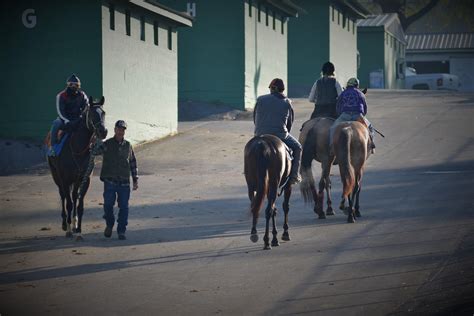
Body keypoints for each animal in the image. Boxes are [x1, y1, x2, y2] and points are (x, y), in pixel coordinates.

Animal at [46, 96, 107, 239]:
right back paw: (65, 224)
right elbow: (68, 203)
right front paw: (68, 229)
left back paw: (74, 223)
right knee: (63, 196)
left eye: (104, 113)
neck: (77, 148)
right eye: (92, 114)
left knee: (74, 196)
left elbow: (79, 204)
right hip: (56, 176)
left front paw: (78, 230)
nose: (103, 131)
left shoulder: (85, 179)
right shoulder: (65, 179)